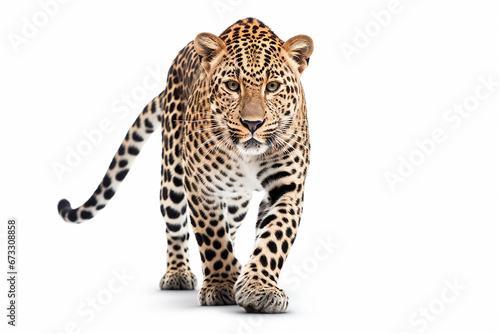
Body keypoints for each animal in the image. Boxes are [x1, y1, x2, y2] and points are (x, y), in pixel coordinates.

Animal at [57, 18, 312, 314]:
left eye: (272, 87)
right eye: (232, 86)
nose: (252, 123)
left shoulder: (287, 188)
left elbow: (273, 238)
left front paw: (259, 287)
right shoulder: (201, 186)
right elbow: (213, 237)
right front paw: (221, 284)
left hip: (237, 200)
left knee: (232, 225)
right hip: (172, 176)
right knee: (176, 226)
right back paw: (178, 273)